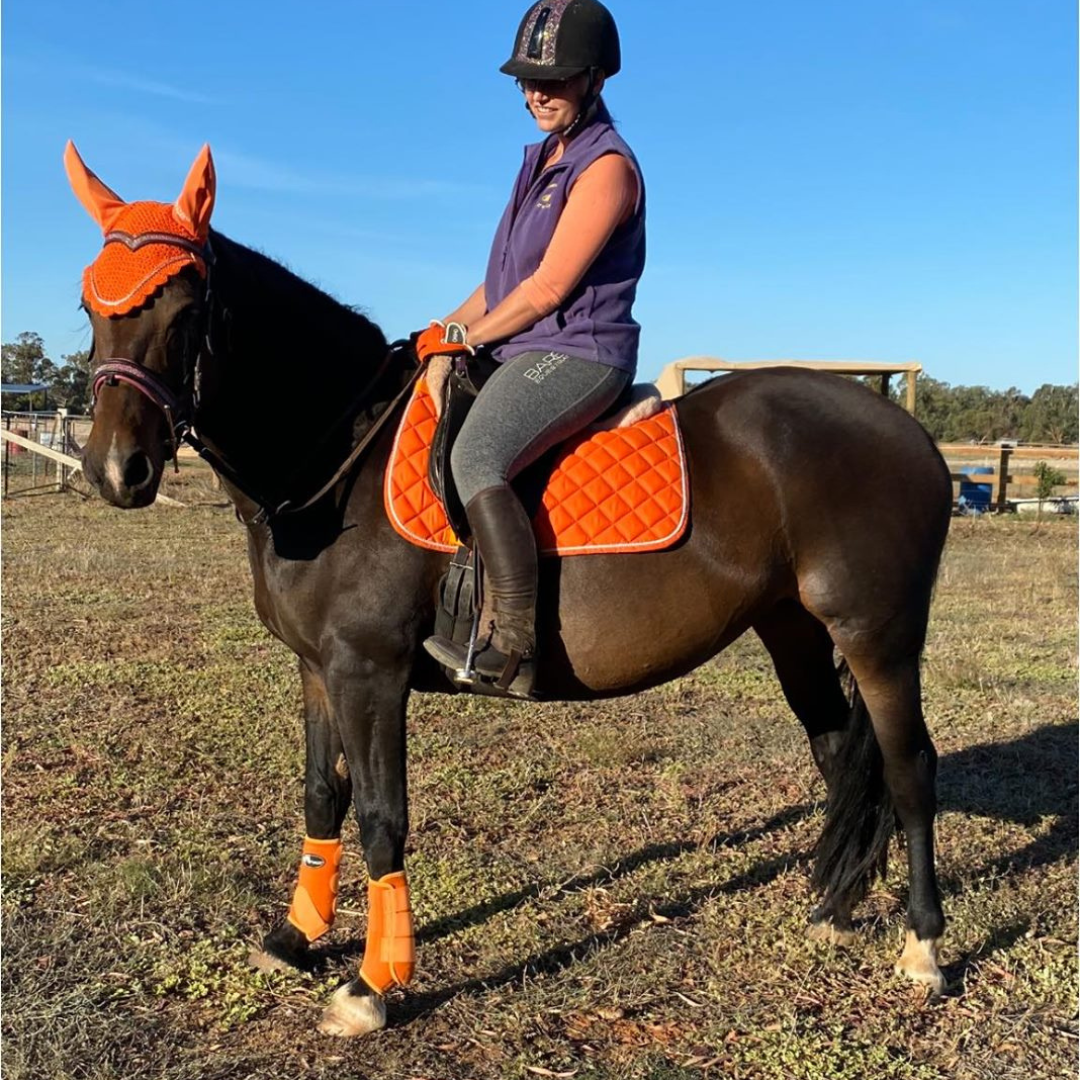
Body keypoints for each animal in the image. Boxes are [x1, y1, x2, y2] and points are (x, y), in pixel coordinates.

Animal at [65, 145, 954, 1036]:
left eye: (185, 310)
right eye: (90, 304)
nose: (115, 470)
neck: (339, 457)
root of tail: (909, 430)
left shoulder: (369, 673)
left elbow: (382, 818)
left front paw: (373, 985)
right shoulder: (317, 669)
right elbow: (322, 797)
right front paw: (292, 938)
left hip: (877, 634)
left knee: (909, 765)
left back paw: (923, 947)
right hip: (795, 629)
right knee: (840, 754)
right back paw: (833, 910)